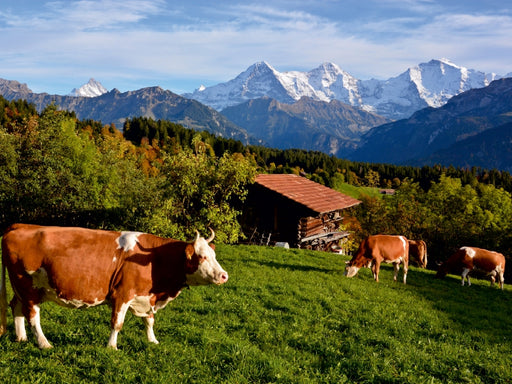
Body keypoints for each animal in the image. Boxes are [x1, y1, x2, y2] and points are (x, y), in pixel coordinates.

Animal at [0, 224, 228, 350]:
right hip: (28, 286)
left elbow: (149, 321)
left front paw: (152, 341)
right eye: (202, 256)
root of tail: (20, 225)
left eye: (214, 255)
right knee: (33, 316)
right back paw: (43, 343)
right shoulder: (122, 294)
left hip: (22, 288)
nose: (224, 276)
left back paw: (21, 338)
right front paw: (112, 347)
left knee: (16, 307)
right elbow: (117, 323)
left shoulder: (147, 296)